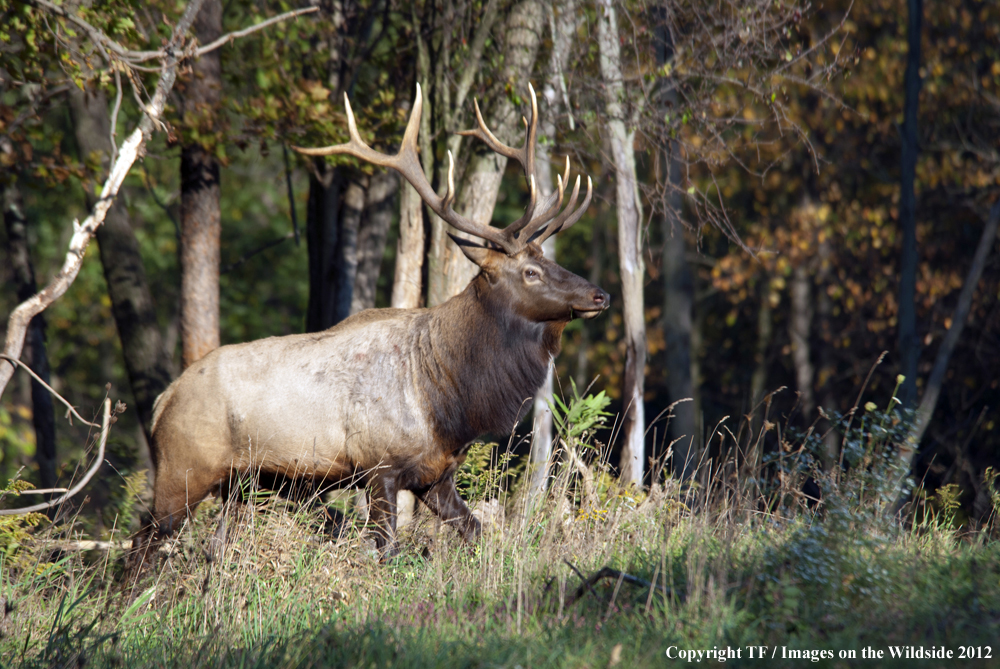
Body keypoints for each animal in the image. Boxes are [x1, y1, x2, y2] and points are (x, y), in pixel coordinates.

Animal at [135, 83, 608, 560]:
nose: (599, 295)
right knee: (141, 547)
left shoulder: (435, 475)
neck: (448, 401)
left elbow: (477, 533)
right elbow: (386, 550)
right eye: (530, 272)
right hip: (183, 471)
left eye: (548, 260)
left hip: (242, 486)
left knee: (212, 548)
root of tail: (162, 402)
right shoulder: (379, 467)